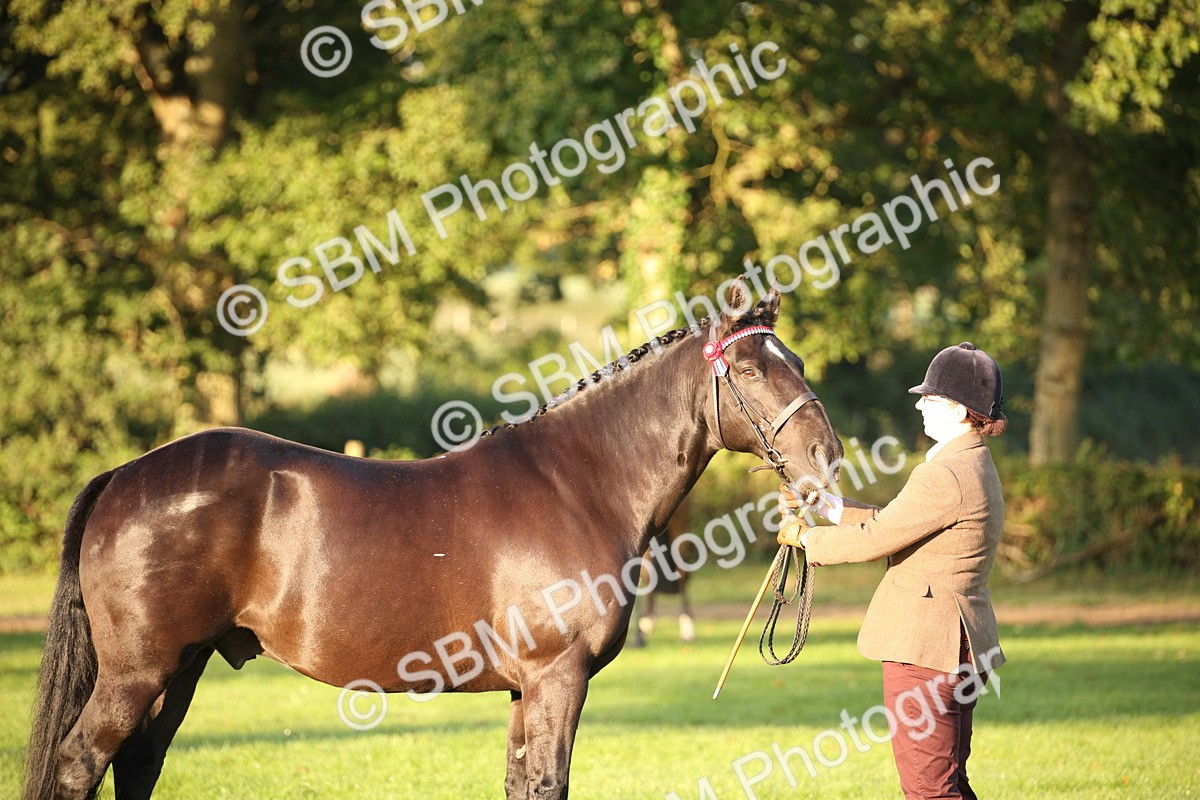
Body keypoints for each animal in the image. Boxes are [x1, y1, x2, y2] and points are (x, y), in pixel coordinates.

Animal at [23, 284, 842, 800]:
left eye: (798, 362)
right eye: (747, 368)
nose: (825, 456)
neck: (577, 482)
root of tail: (124, 476)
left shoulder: (525, 687)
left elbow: (522, 785)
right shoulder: (557, 677)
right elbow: (551, 783)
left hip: (180, 669)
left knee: (135, 768)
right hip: (137, 673)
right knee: (80, 765)